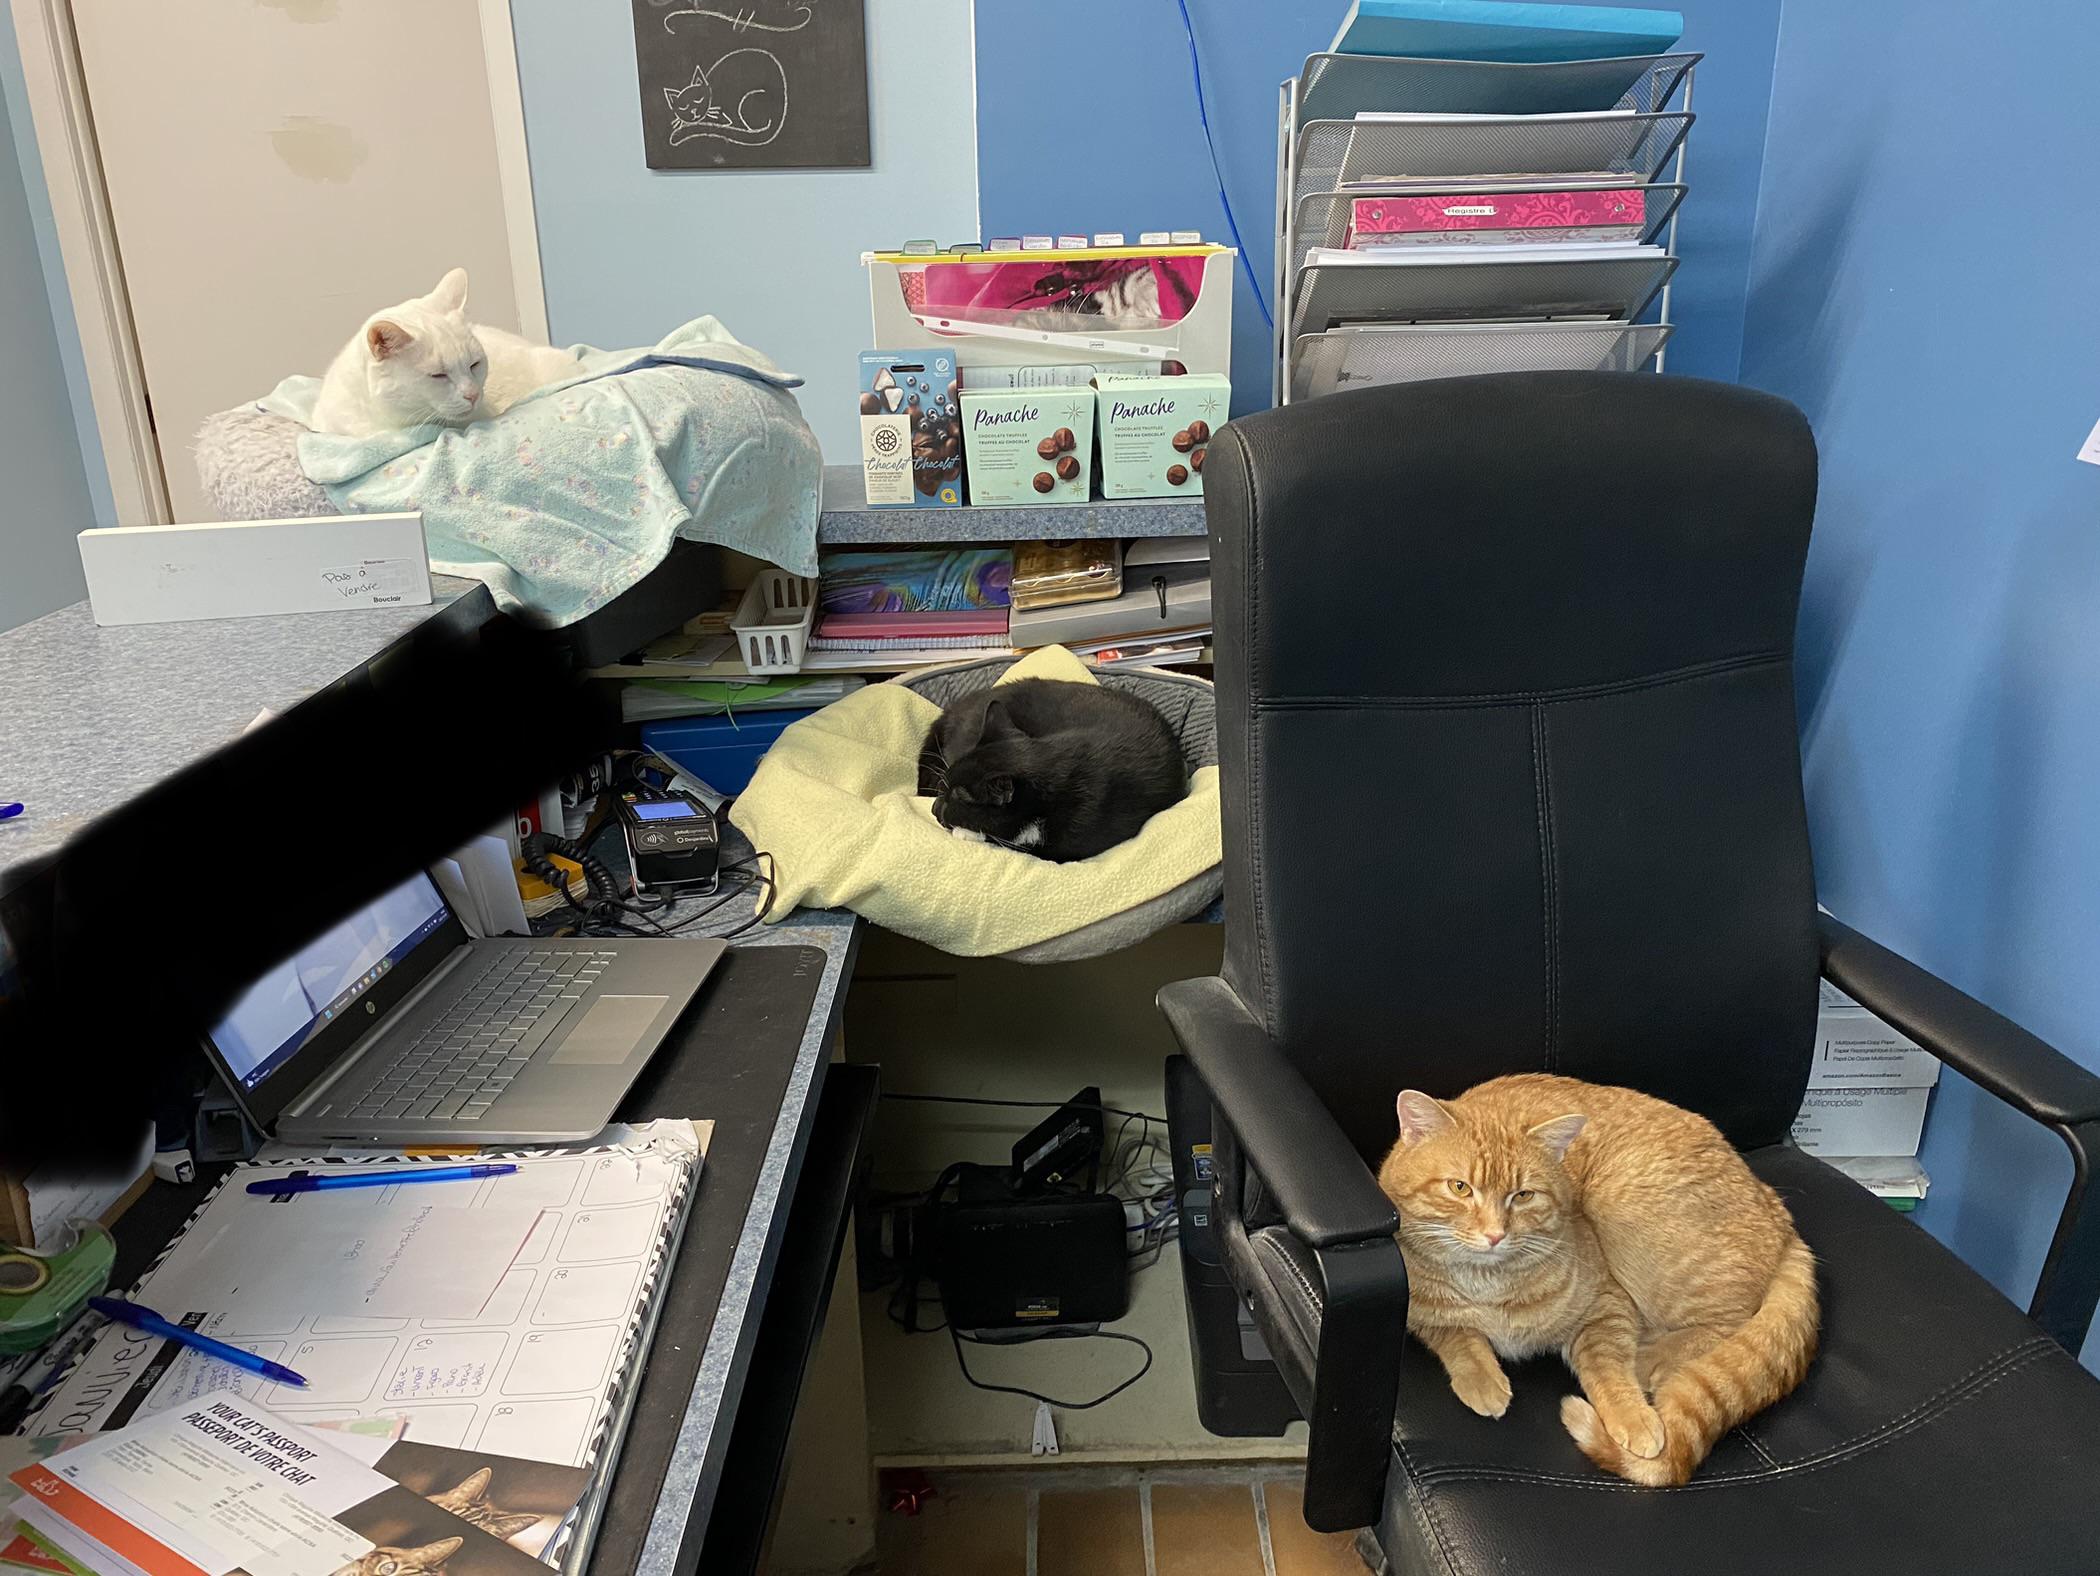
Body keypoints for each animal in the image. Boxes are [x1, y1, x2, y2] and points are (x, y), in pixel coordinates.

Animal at [1376, 1074, 1818, 1487]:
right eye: (1460, 1187)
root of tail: (1777, 1208)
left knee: (1731, 1321)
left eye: (1523, 1195)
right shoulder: (1419, 1313)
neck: (1487, 1281)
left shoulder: (1606, 1304)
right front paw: (1482, 1380)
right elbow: (1456, 1335)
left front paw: (1633, 1417)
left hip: (1622, 1204)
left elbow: (1606, 1366)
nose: (1495, 1234)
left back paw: (1647, 1360)